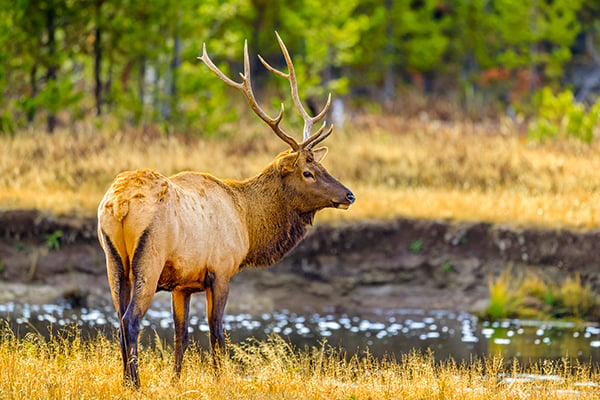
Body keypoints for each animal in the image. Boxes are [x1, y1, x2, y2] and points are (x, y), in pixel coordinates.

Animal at [96, 32, 354, 390]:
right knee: (131, 320)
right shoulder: (220, 271)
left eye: (322, 165)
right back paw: (135, 383)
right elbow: (217, 332)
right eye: (308, 172)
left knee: (119, 321)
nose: (348, 195)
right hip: (148, 258)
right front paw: (221, 379)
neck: (247, 222)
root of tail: (120, 204)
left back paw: (125, 381)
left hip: (114, 261)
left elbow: (181, 335)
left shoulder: (183, 284)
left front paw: (176, 381)